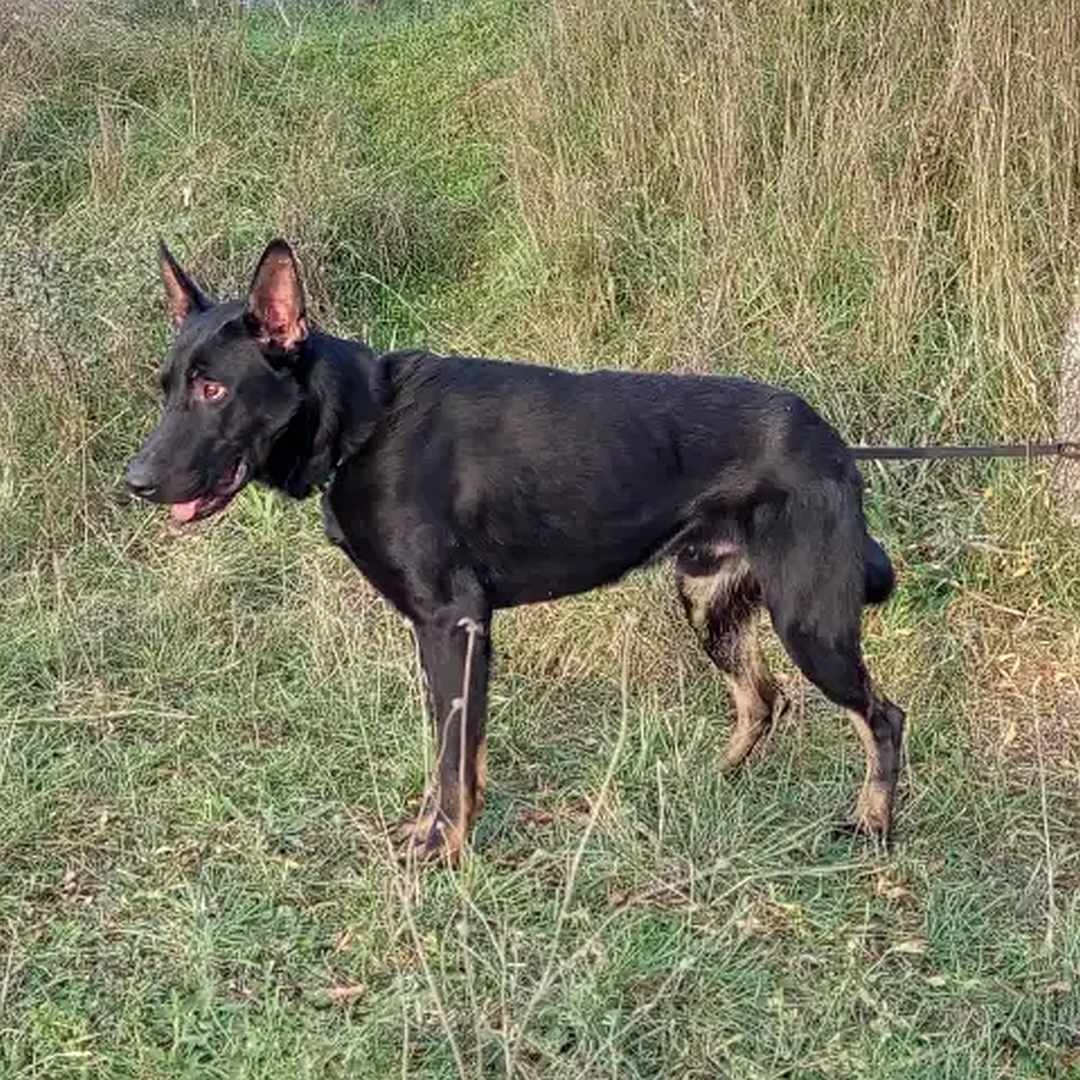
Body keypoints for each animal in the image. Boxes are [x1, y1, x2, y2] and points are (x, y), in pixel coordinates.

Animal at [124, 240, 902, 864]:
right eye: (164, 388)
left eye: (214, 388)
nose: (134, 481)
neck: (364, 425)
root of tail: (833, 443)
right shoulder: (447, 636)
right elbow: (455, 752)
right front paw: (447, 830)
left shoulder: (452, 623)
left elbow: (450, 760)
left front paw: (439, 846)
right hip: (710, 605)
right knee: (764, 698)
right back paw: (716, 777)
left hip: (809, 626)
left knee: (881, 716)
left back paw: (873, 822)